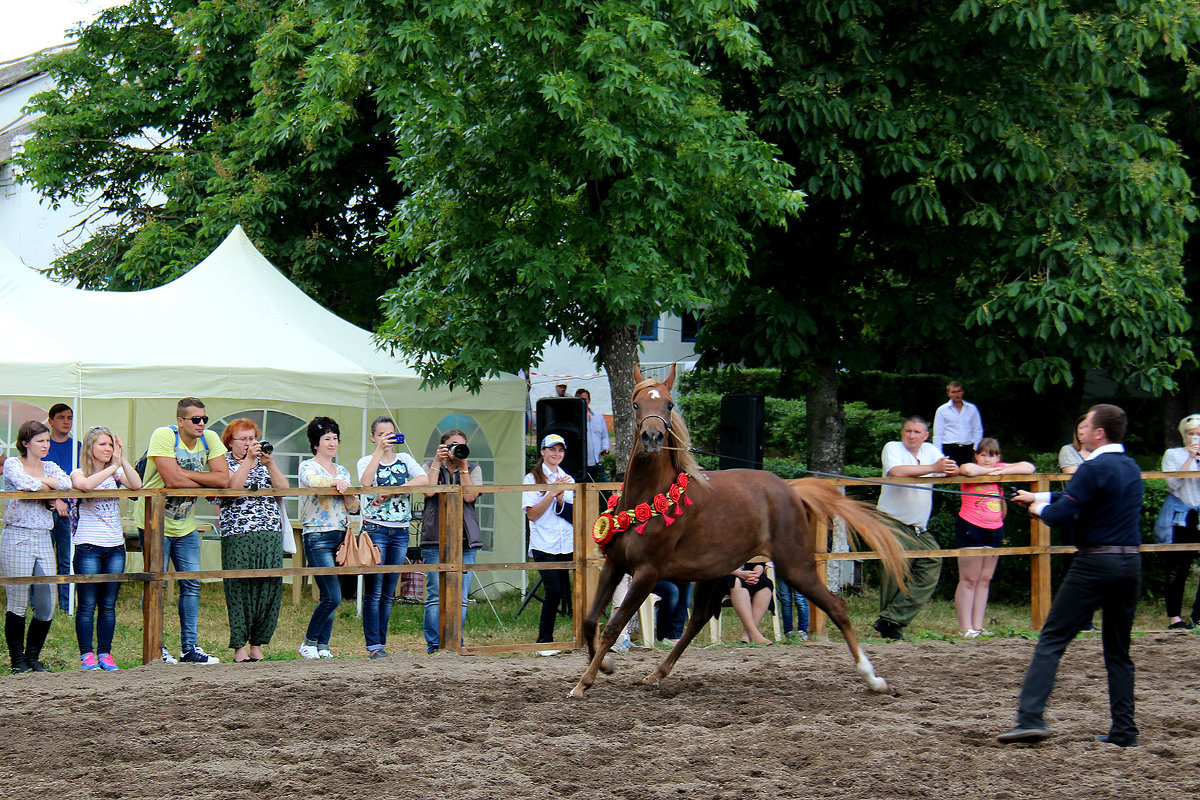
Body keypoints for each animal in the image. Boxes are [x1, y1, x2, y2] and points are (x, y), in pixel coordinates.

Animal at [571, 367, 907, 695]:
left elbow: (612, 627)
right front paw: (604, 667)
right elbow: (590, 620)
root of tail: (790, 489)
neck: (649, 498)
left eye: (669, 404)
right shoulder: (616, 565)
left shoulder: (647, 573)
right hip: (713, 572)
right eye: (636, 404)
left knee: (836, 607)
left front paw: (583, 683)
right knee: (699, 618)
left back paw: (872, 678)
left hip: (794, 565)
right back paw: (656, 673)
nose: (652, 437)